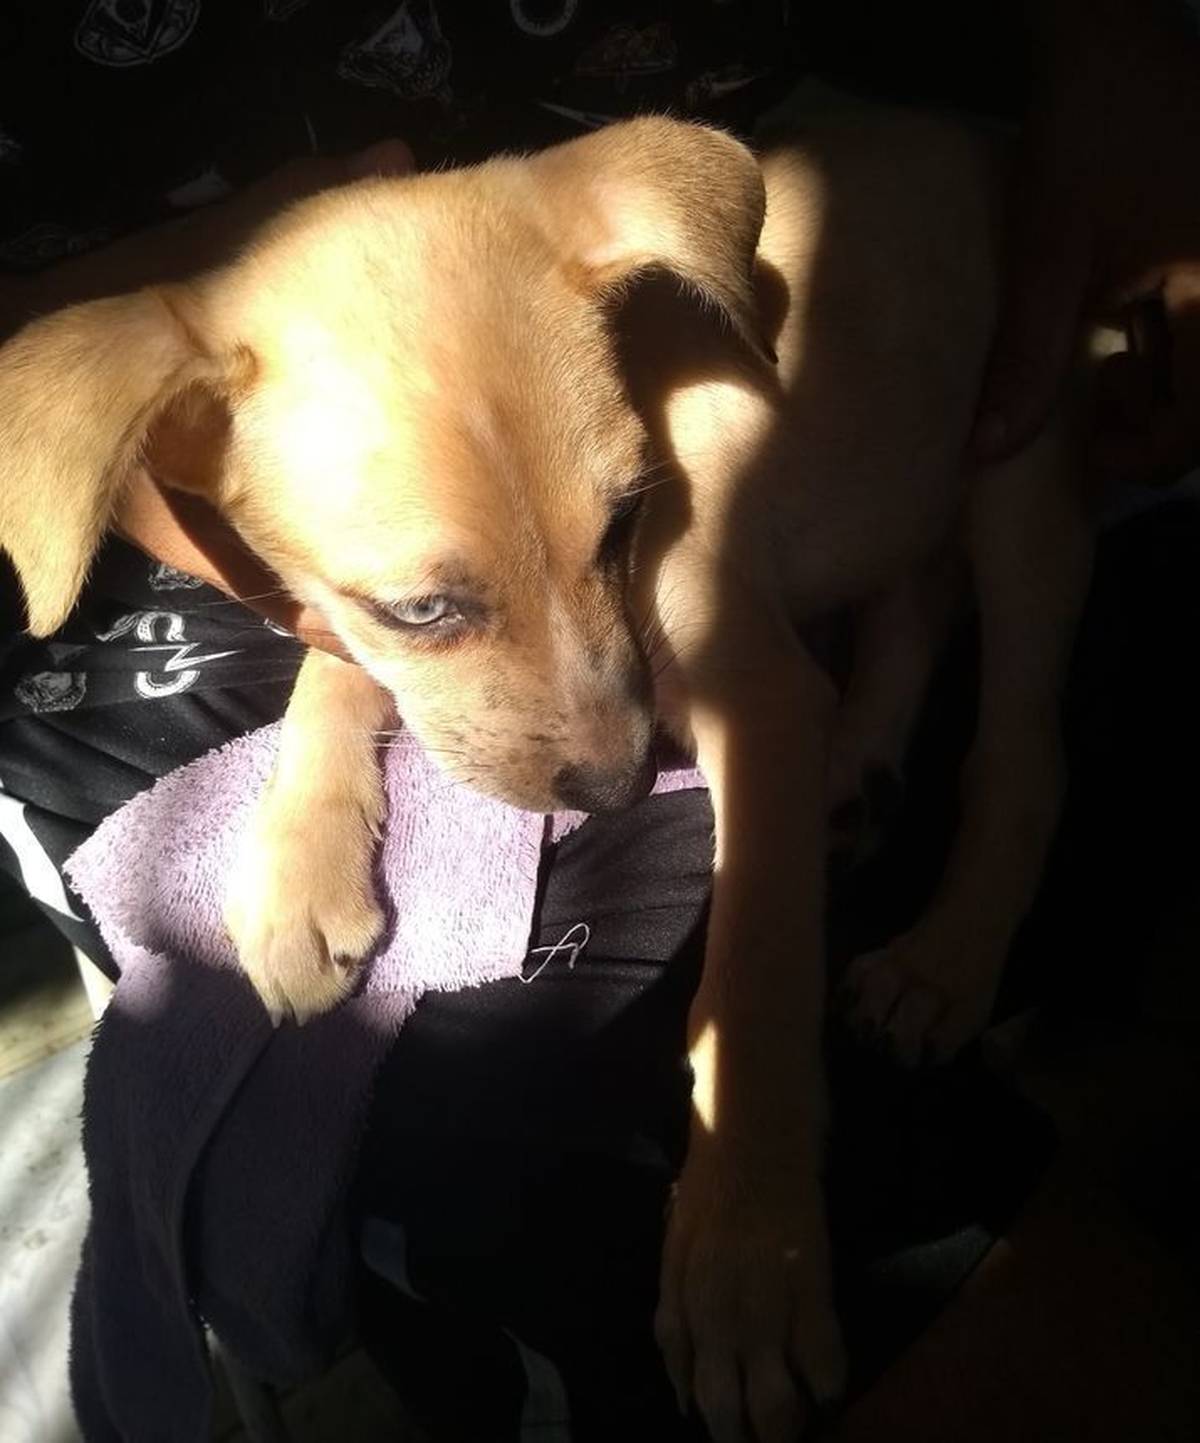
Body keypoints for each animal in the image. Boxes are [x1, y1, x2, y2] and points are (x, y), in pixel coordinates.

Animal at [0, 89, 1096, 1440]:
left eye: (626, 522)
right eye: (424, 608)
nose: (625, 789)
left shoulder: (759, 696)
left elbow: (754, 988)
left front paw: (747, 1262)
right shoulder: (354, 623)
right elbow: (333, 679)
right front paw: (299, 873)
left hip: (1019, 458)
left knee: (1020, 749)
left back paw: (941, 959)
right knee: (913, 598)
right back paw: (858, 773)